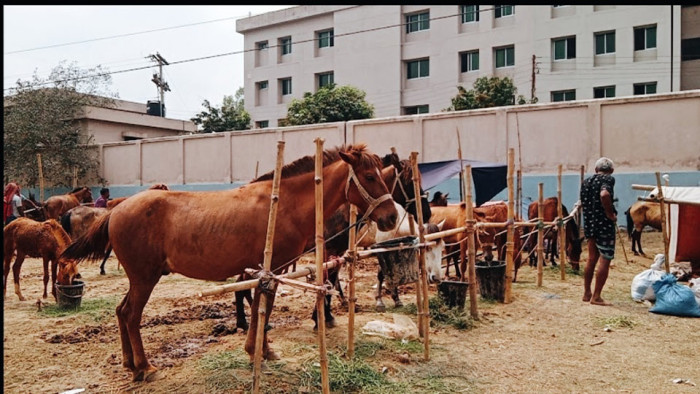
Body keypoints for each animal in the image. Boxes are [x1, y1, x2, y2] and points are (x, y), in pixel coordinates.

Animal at [62, 144, 396, 382]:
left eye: (384, 176)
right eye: (370, 177)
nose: (392, 217)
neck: (285, 203)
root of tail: (115, 211)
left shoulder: (265, 271)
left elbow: (260, 306)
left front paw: (259, 349)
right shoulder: (273, 269)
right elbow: (264, 308)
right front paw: (258, 350)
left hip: (138, 278)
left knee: (121, 312)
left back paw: (130, 363)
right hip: (145, 278)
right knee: (131, 315)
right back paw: (144, 367)